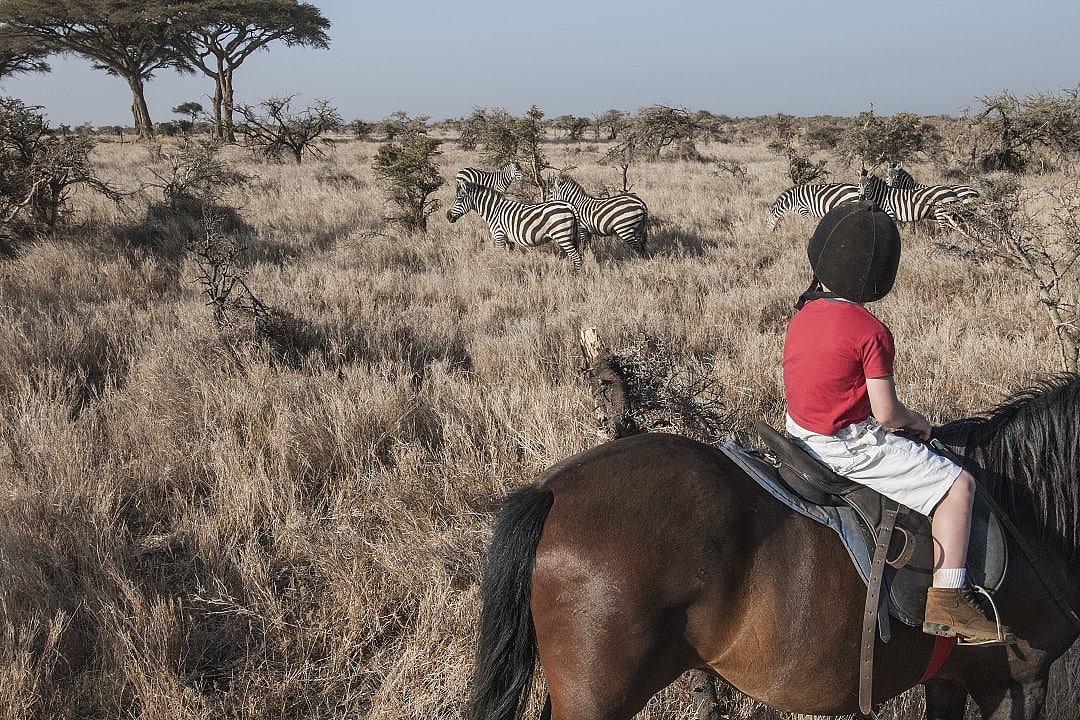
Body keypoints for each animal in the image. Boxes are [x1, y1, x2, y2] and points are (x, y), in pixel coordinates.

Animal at [446, 183, 583, 271]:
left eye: (459, 199)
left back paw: (576, 277)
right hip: (569, 236)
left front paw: (500, 271)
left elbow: (500, 256)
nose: (447, 216)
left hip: (562, 235)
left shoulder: (499, 236)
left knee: (576, 257)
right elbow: (508, 257)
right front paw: (509, 268)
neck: (493, 211)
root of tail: (568, 205)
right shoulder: (509, 240)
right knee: (574, 257)